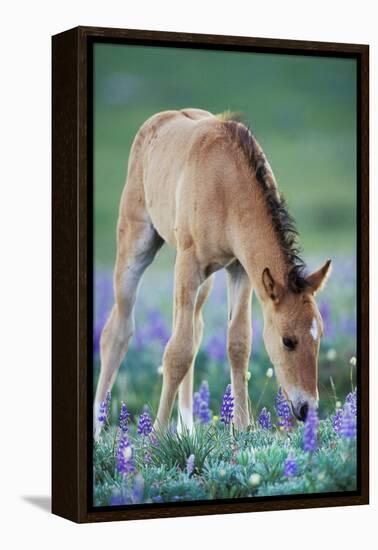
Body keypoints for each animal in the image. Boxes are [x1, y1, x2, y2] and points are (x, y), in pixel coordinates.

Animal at [94, 109, 330, 440]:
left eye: (319, 336)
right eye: (288, 341)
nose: (308, 410)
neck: (226, 184)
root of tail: (157, 120)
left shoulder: (240, 268)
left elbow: (238, 343)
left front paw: (242, 428)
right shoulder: (188, 263)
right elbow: (177, 352)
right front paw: (155, 436)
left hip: (205, 281)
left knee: (194, 329)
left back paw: (187, 428)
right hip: (136, 246)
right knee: (118, 330)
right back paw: (98, 426)